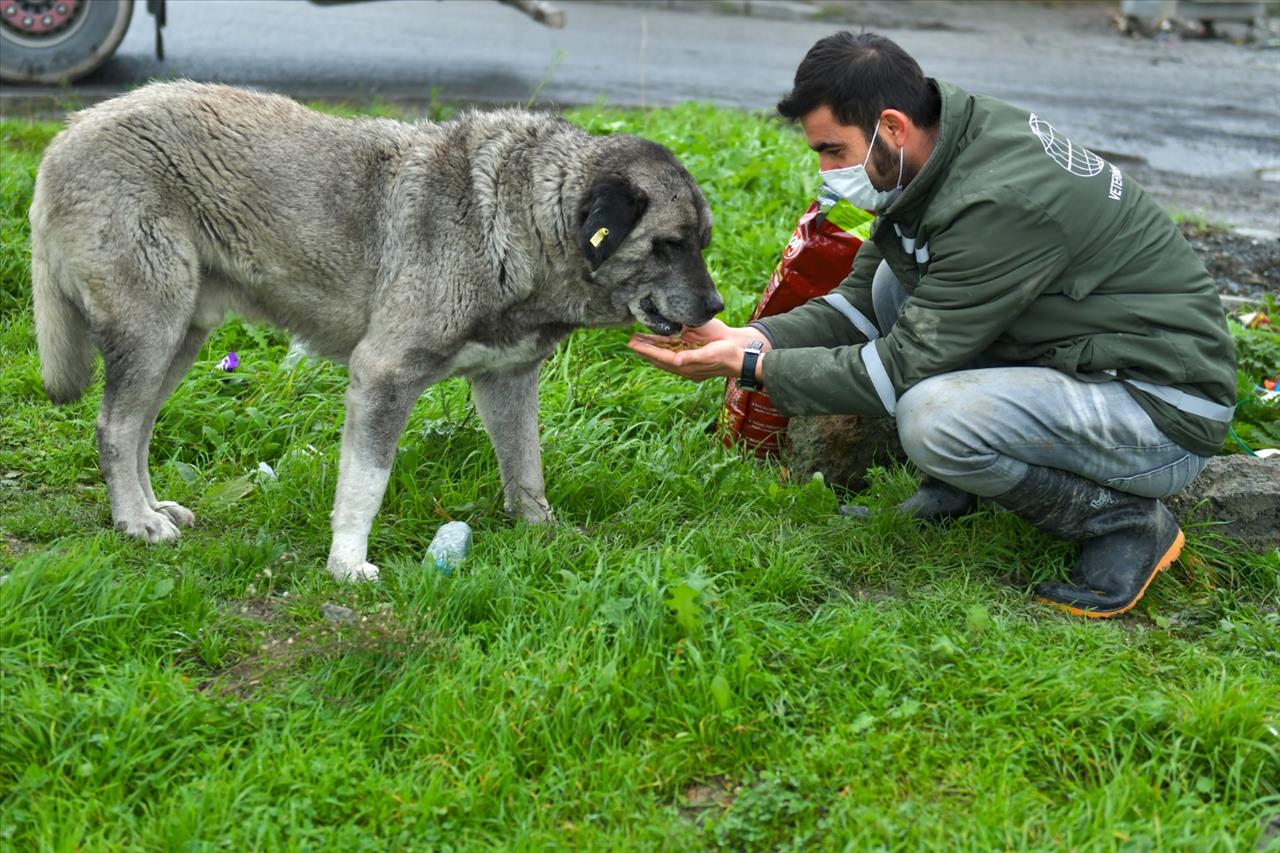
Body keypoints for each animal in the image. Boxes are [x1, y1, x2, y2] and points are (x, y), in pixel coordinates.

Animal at [32, 81, 721, 578]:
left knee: (137, 428)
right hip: (154, 328)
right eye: (668, 245)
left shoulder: (508, 383)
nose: (715, 306)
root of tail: (65, 137)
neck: (518, 218)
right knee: (115, 427)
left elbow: (526, 470)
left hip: (180, 338)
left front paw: (542, 534)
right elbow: (365, 485)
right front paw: (346, 564)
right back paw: (134, 521)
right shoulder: (383, 378)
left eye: (702, 244)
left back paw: (151, 509)